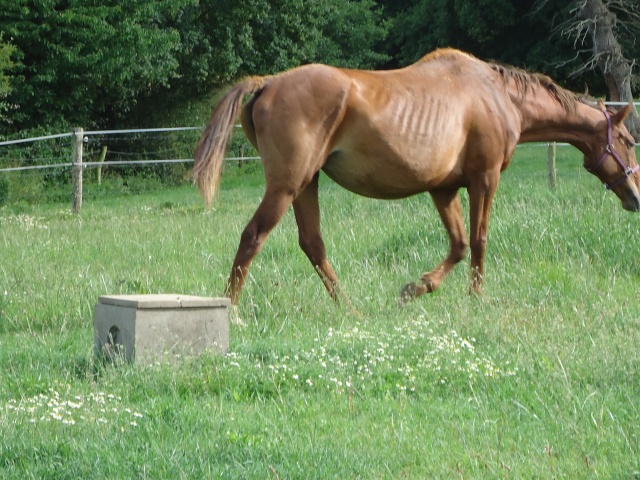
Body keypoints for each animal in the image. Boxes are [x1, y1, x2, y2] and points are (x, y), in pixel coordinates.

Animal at [194, 47, 640, 304]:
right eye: (628, 139)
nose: (635, 196)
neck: (497, 96)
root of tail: (268, 83)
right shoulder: (484, 179)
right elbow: (479, 241)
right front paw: (476, 298)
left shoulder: (443, 189)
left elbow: (458, 244)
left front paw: (416, 288)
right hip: (287, 186)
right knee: (253, 237)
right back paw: (232, 311)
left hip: (306, 184)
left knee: (313, 245)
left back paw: (349, 310)